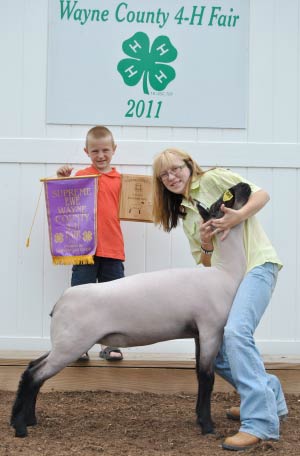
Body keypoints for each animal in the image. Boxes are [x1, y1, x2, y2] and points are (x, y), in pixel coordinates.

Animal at [11, 182, 251, 438]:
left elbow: (198, 374)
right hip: (71, 344)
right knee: (34, 375)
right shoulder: (210, 329)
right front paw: (207, 426)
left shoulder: (198, 333)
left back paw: (29, 419)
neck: (225, 273)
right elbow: (207, 378)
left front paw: (200, 419)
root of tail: (59, 302)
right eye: (223, 201)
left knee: (33, 368)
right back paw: (20, 427)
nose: (245, 186)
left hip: (63, 341)